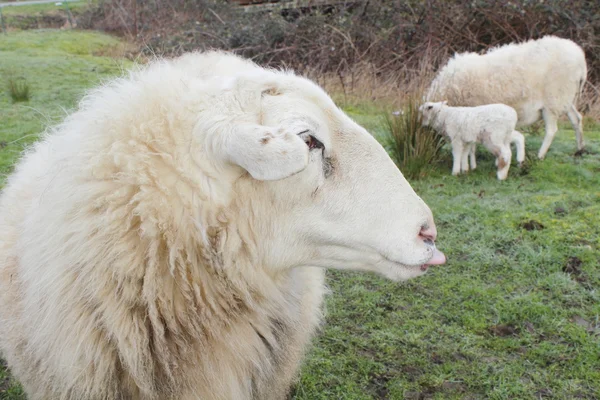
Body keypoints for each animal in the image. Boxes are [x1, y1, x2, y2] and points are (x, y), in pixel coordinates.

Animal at [426, 34, 584, 159]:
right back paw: (580, 150)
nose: (432, 153)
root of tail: (580, 57)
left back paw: (540, 155)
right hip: (566, 98)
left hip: (553, 101)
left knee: (551, 130)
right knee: (576, 119)